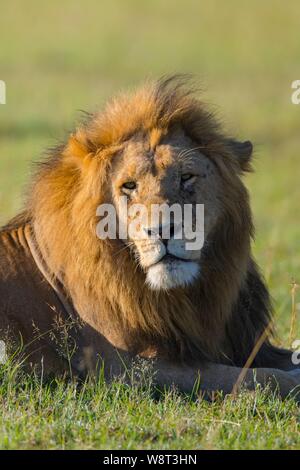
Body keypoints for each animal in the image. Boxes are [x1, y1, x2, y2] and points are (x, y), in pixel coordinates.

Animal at [0, 78, 300, 400]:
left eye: (186, 177)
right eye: (129, 186)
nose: (163, 230)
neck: (188, 296)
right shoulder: (121, 368)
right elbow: (254, 377)